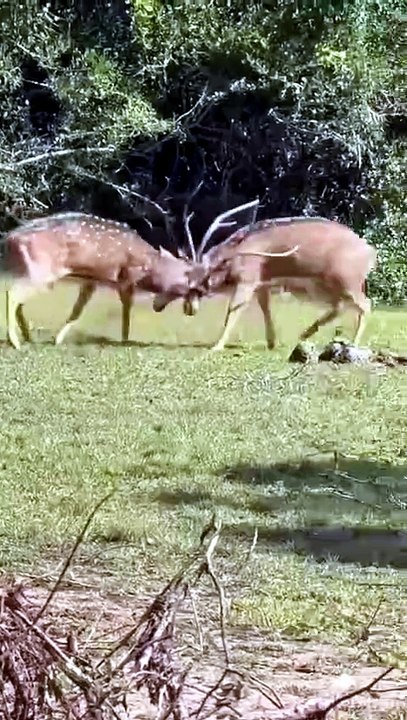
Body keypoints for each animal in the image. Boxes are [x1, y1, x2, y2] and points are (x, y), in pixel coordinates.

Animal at [0, 211, 209, 349]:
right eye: (195, 289)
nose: (193, 311)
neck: (150, 266)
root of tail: (10, 239)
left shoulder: (91, 280)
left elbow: (77, 310)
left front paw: (57, 340)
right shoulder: (126, 278)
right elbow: (127, 307)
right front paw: (125, 339)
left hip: (35, 274)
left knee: (19, 302)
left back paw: (27, 337)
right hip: (42, 273)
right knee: (12, 294)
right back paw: (15, 341)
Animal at [153, 202, 377, 353]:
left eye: (189, 285)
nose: (188, 309)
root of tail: (369, 251)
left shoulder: (247, 281)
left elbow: (233, 310)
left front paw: (216, 346)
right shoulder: (262, 284)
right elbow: (265, 309)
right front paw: (271, 342)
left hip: (346, 284)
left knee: (364, 305)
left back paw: (352, 343)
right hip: (325, 287)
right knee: (340, 307)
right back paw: (304, 334)